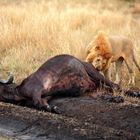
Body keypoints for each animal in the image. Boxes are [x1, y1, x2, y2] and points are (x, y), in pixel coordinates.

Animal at [0, 54, 138, 113]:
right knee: (106, 90)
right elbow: (42, 103)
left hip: (95, 74)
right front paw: (53, 108)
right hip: (94, 85)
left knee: (115, 86)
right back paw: (115, 98)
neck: (18, 91)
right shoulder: (46, 96)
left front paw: (51, 109)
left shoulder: (36, 91)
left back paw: (133, 94)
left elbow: (37, 103)